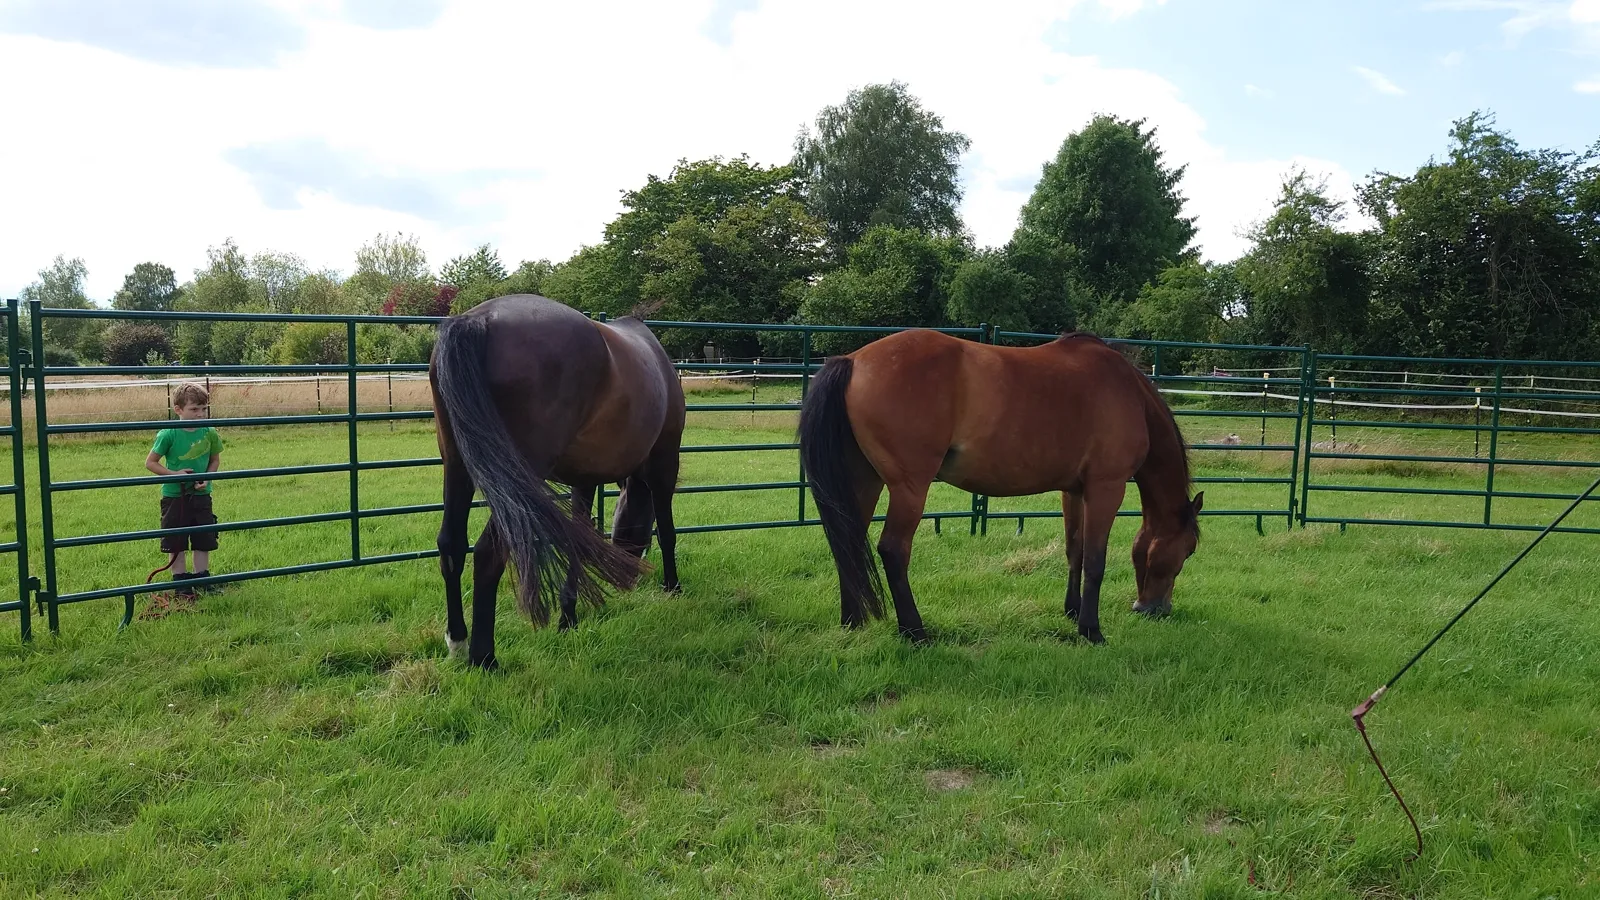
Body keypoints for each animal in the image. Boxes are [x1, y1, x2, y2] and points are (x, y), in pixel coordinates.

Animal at [429, 294, 686, 669]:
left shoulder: (585, 479)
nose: (632, 575)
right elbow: (667, 531)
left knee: (451, 545)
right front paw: (673, 587)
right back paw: (484, 657)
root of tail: (478, 319)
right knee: (489, 552)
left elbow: (579, 540)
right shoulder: (664, 463)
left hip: (457, 462)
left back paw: (458, 642)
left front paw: (568, 618)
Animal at [797, 329, 1202, 645]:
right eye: (1189, 550)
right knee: (893, 550)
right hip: (909, 487)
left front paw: (1072, 611)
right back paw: (916, 632)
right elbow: (1096, 560)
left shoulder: (1074, 490)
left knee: (849, 541)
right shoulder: (1107, 488)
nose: (1153, 609)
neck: (1129, 393)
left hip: (864, 481)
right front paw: (1091, 630)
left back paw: (853, 623)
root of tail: (853, 361)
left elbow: (1075, 550)